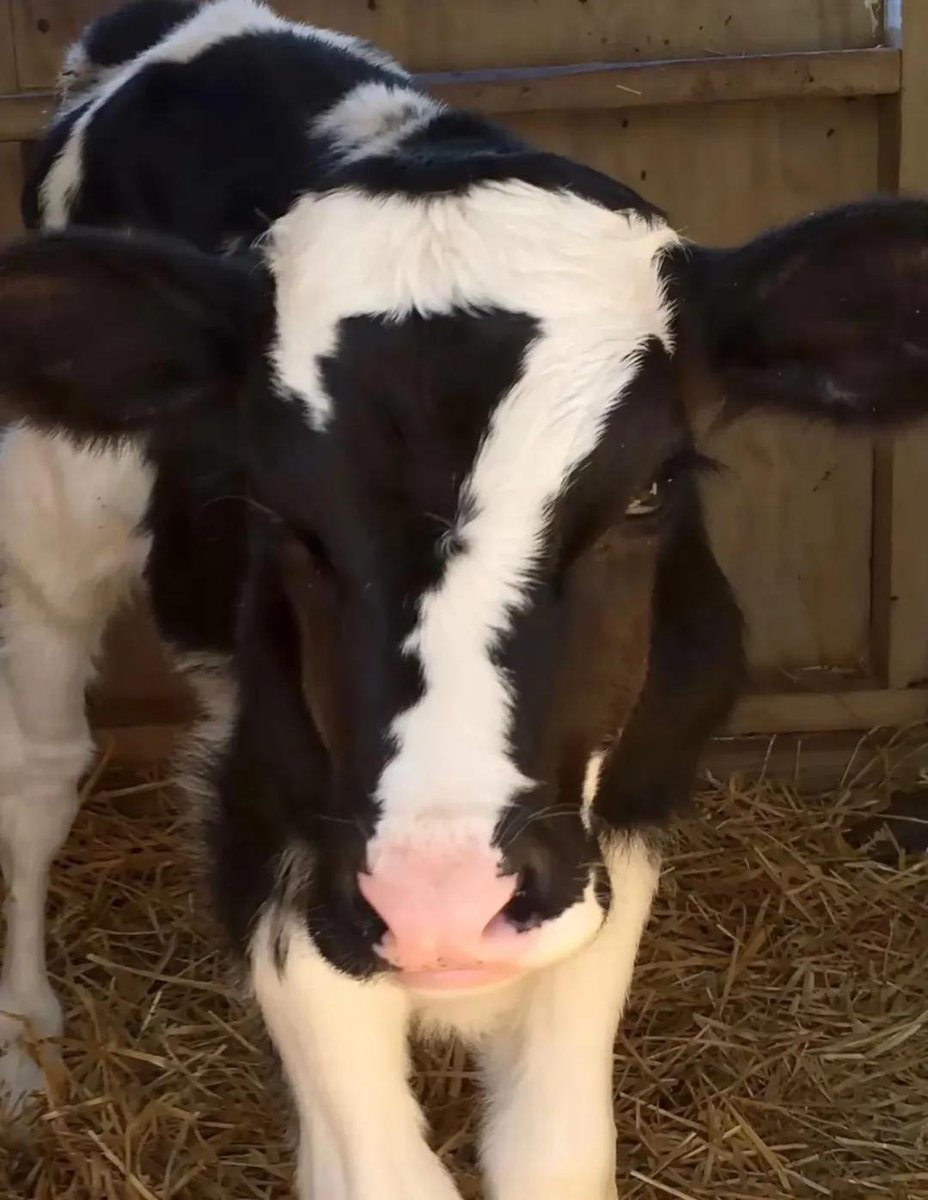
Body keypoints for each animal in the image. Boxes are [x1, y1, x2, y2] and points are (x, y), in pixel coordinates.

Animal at [0, 2, 925, 1197]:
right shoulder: (279, 837)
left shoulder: (615, 831)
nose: (438, 901)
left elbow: (554, 1152)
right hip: (51, 514)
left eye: (651, 489)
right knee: (38, 770)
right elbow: (383, 1168)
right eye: (278, 508)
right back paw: (26, 1051)